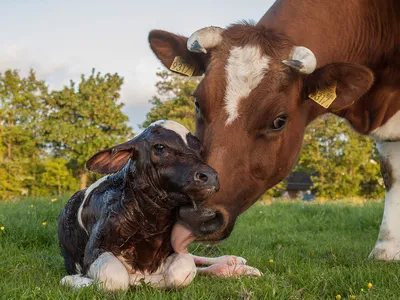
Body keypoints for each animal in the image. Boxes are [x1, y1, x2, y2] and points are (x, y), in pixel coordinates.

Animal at [58, 120, 260, 290]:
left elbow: (183, 271)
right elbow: (115, 278)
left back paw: (235, 263)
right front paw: (77, 280)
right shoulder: (95, 249)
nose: (210, 176)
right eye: (160, 146)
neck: (150, 222)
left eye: (199, 149)